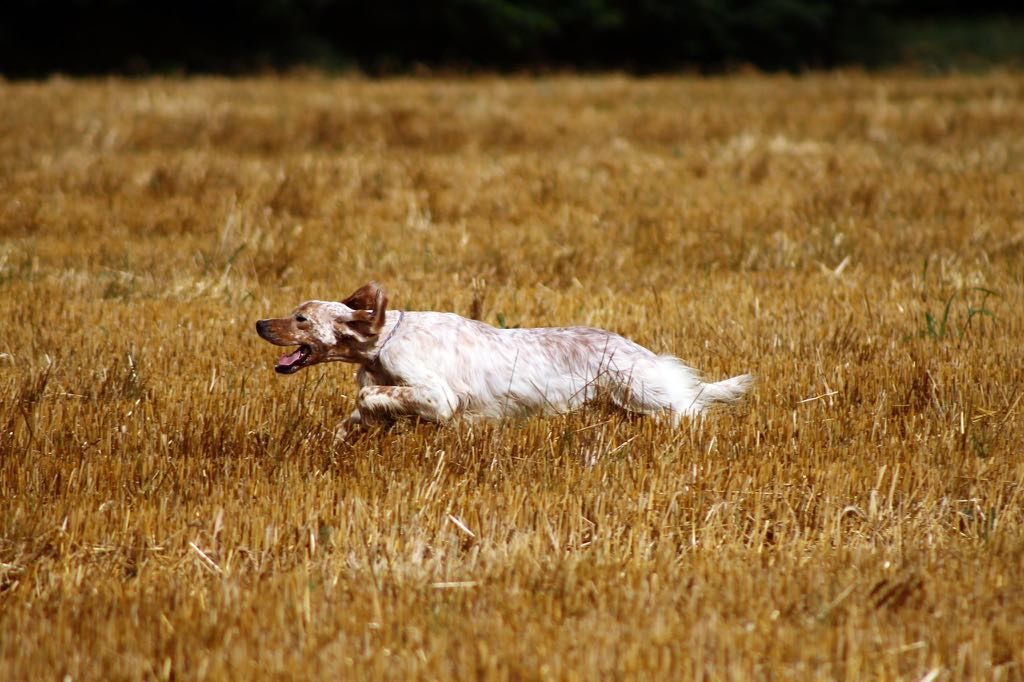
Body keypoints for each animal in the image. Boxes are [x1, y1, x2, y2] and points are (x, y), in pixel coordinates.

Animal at [258, 280, 753, 428]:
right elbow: (358, 415)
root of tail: (634, 348)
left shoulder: (438, 395)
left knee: (688, 406)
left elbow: (368, 397)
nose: (260, 324)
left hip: (644, 391)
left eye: (301, 318)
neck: (381, 342)